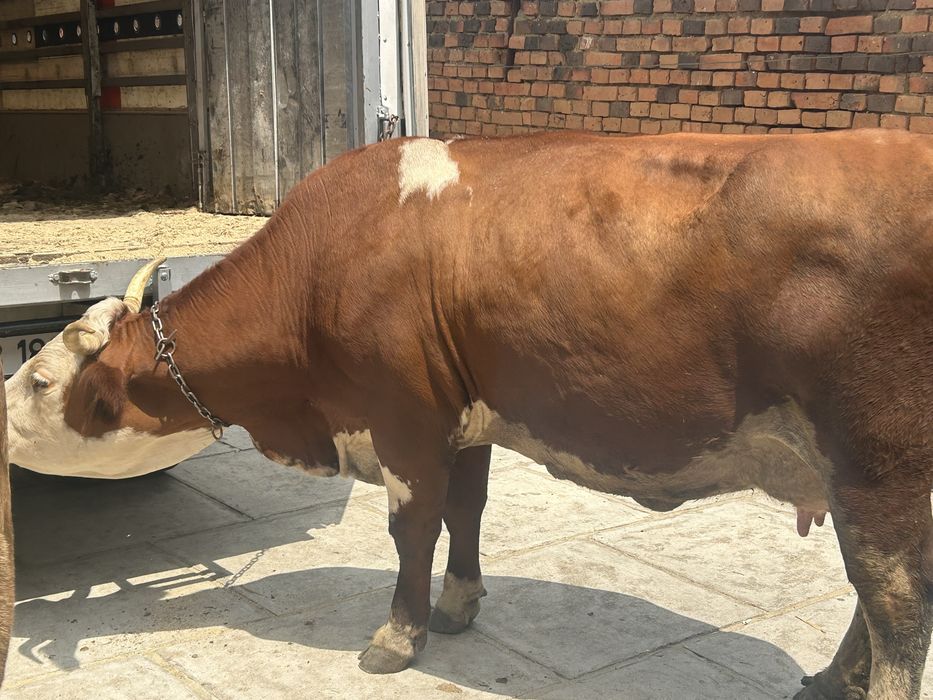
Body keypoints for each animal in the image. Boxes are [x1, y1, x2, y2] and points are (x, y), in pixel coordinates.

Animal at [5, 129, 931, 698]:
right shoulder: (466, 412)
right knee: (874, 599)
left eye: (41, 380)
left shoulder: (402, 415)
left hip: (874, 462)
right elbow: (466, 508)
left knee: (893, 603)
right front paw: (457, 606)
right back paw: (830, 680)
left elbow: (413, 527)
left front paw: (398, 636)